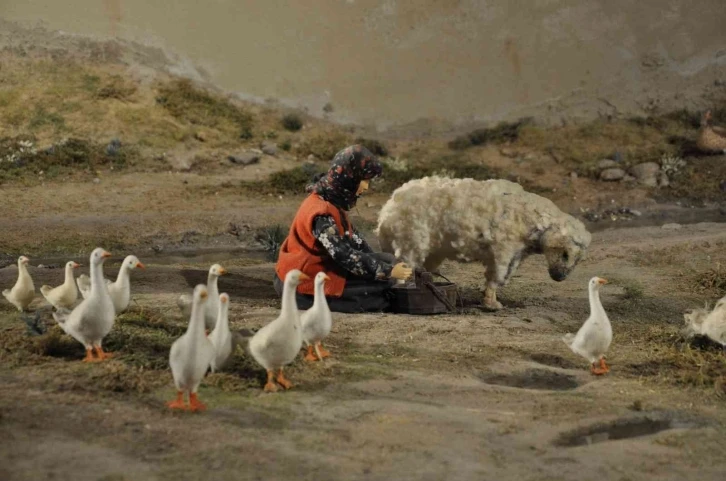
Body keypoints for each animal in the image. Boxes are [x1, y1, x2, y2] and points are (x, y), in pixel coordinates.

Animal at [378, 178, 596, 310]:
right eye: (565, 254)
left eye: (578, 260)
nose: (560, 277)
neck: (532, 220)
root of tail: (387, 209)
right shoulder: (503, 249)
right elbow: (496, 276)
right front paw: (491, 303)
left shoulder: (515, 254)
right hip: (410, 241)